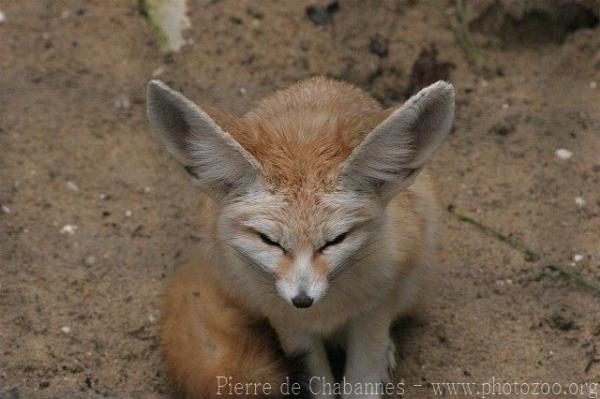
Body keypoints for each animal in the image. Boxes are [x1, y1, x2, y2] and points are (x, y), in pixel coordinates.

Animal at [146, 76, 454, 398]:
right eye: (269, 240)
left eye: (336, 240)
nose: (302, 300)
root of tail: (318, 81)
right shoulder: (286, 321)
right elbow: (318, 383)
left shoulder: (375, 308)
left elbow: (362, 378)